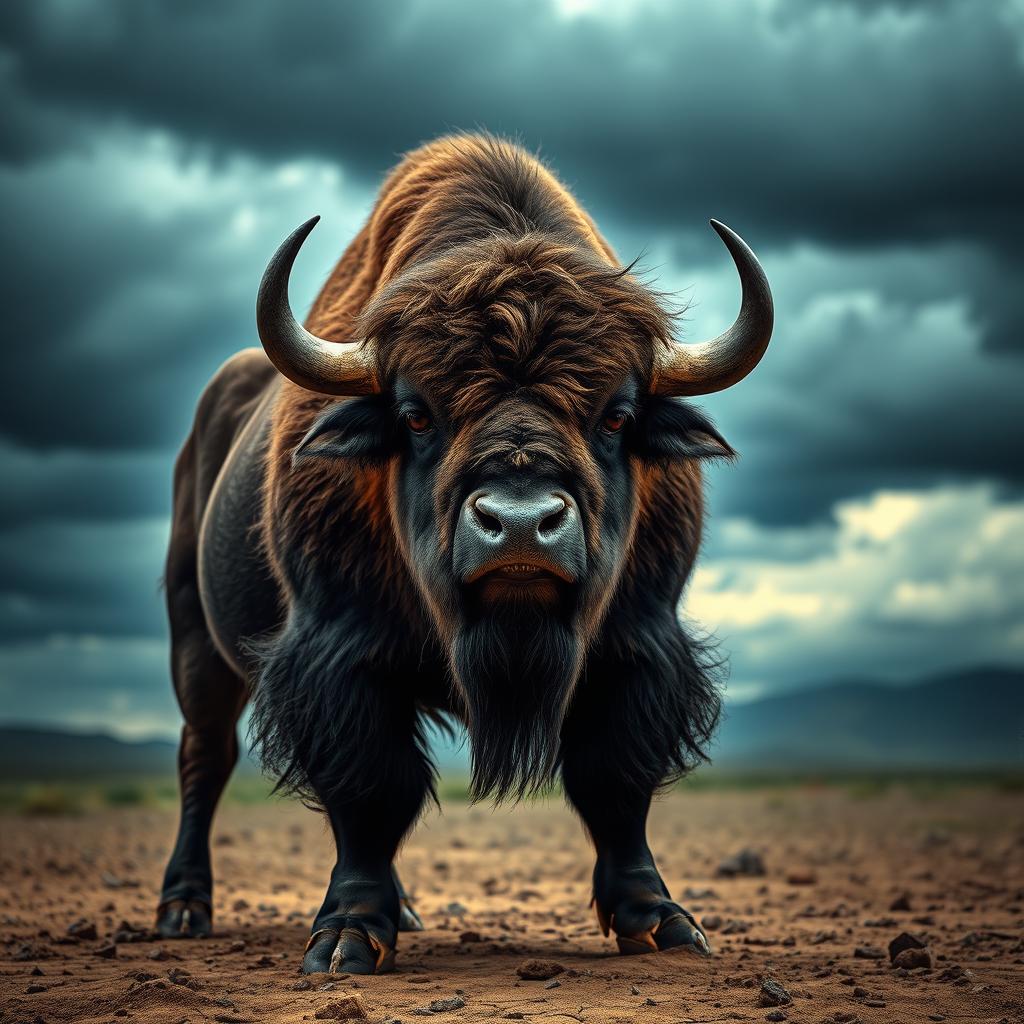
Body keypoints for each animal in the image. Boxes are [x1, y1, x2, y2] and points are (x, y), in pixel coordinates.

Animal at [156, 133, 773, 973]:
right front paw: (347, 938)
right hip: (196, 642)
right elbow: (370, 788)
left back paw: (408, 912)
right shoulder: (339, 650)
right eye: (416, 414)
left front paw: (662, 922)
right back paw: (183, 910)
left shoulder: (638, 643)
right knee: (205, 757)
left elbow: (615, 780)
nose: (518, 524)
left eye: (617, 415)